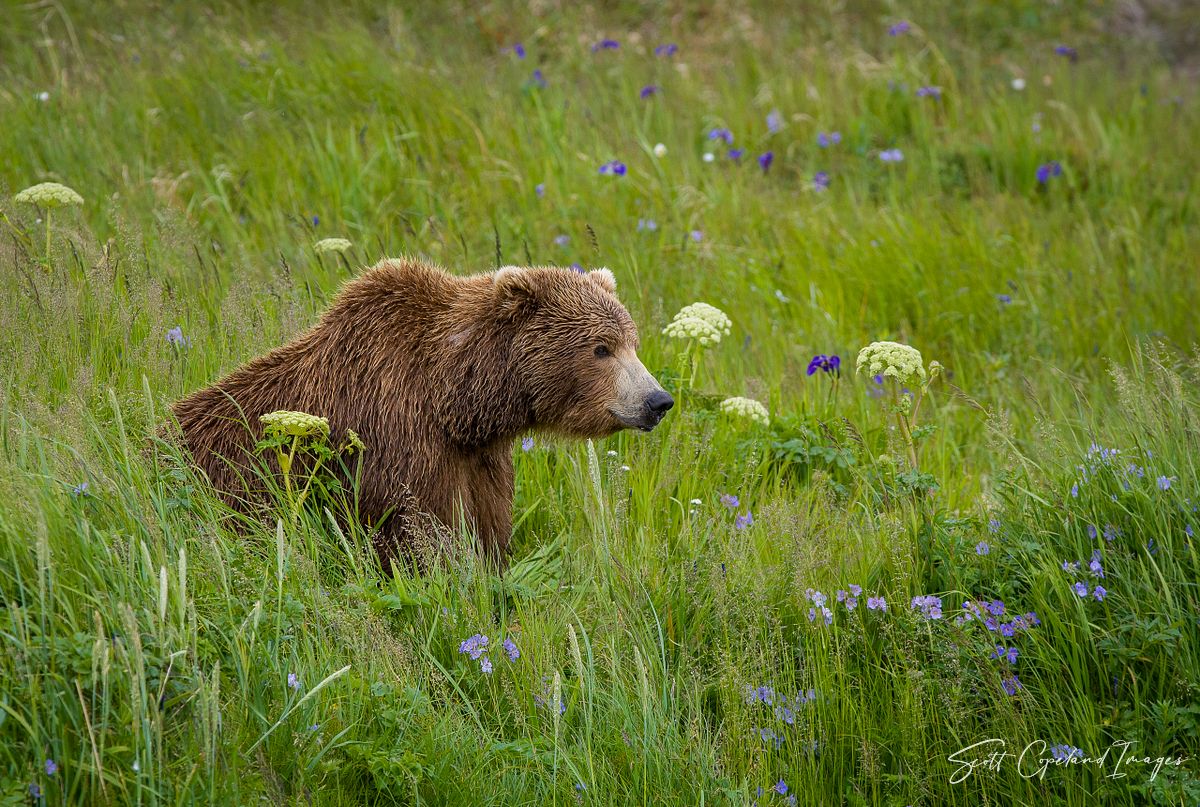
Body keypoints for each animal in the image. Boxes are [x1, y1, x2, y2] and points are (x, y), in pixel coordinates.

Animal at [170, 258, 674, 567]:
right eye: (601, 348)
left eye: (633, 342)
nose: (658, 400)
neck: (454, 400)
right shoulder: (398, 440)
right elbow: (419, 537)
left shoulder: (478, 458)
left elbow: (489, 528)